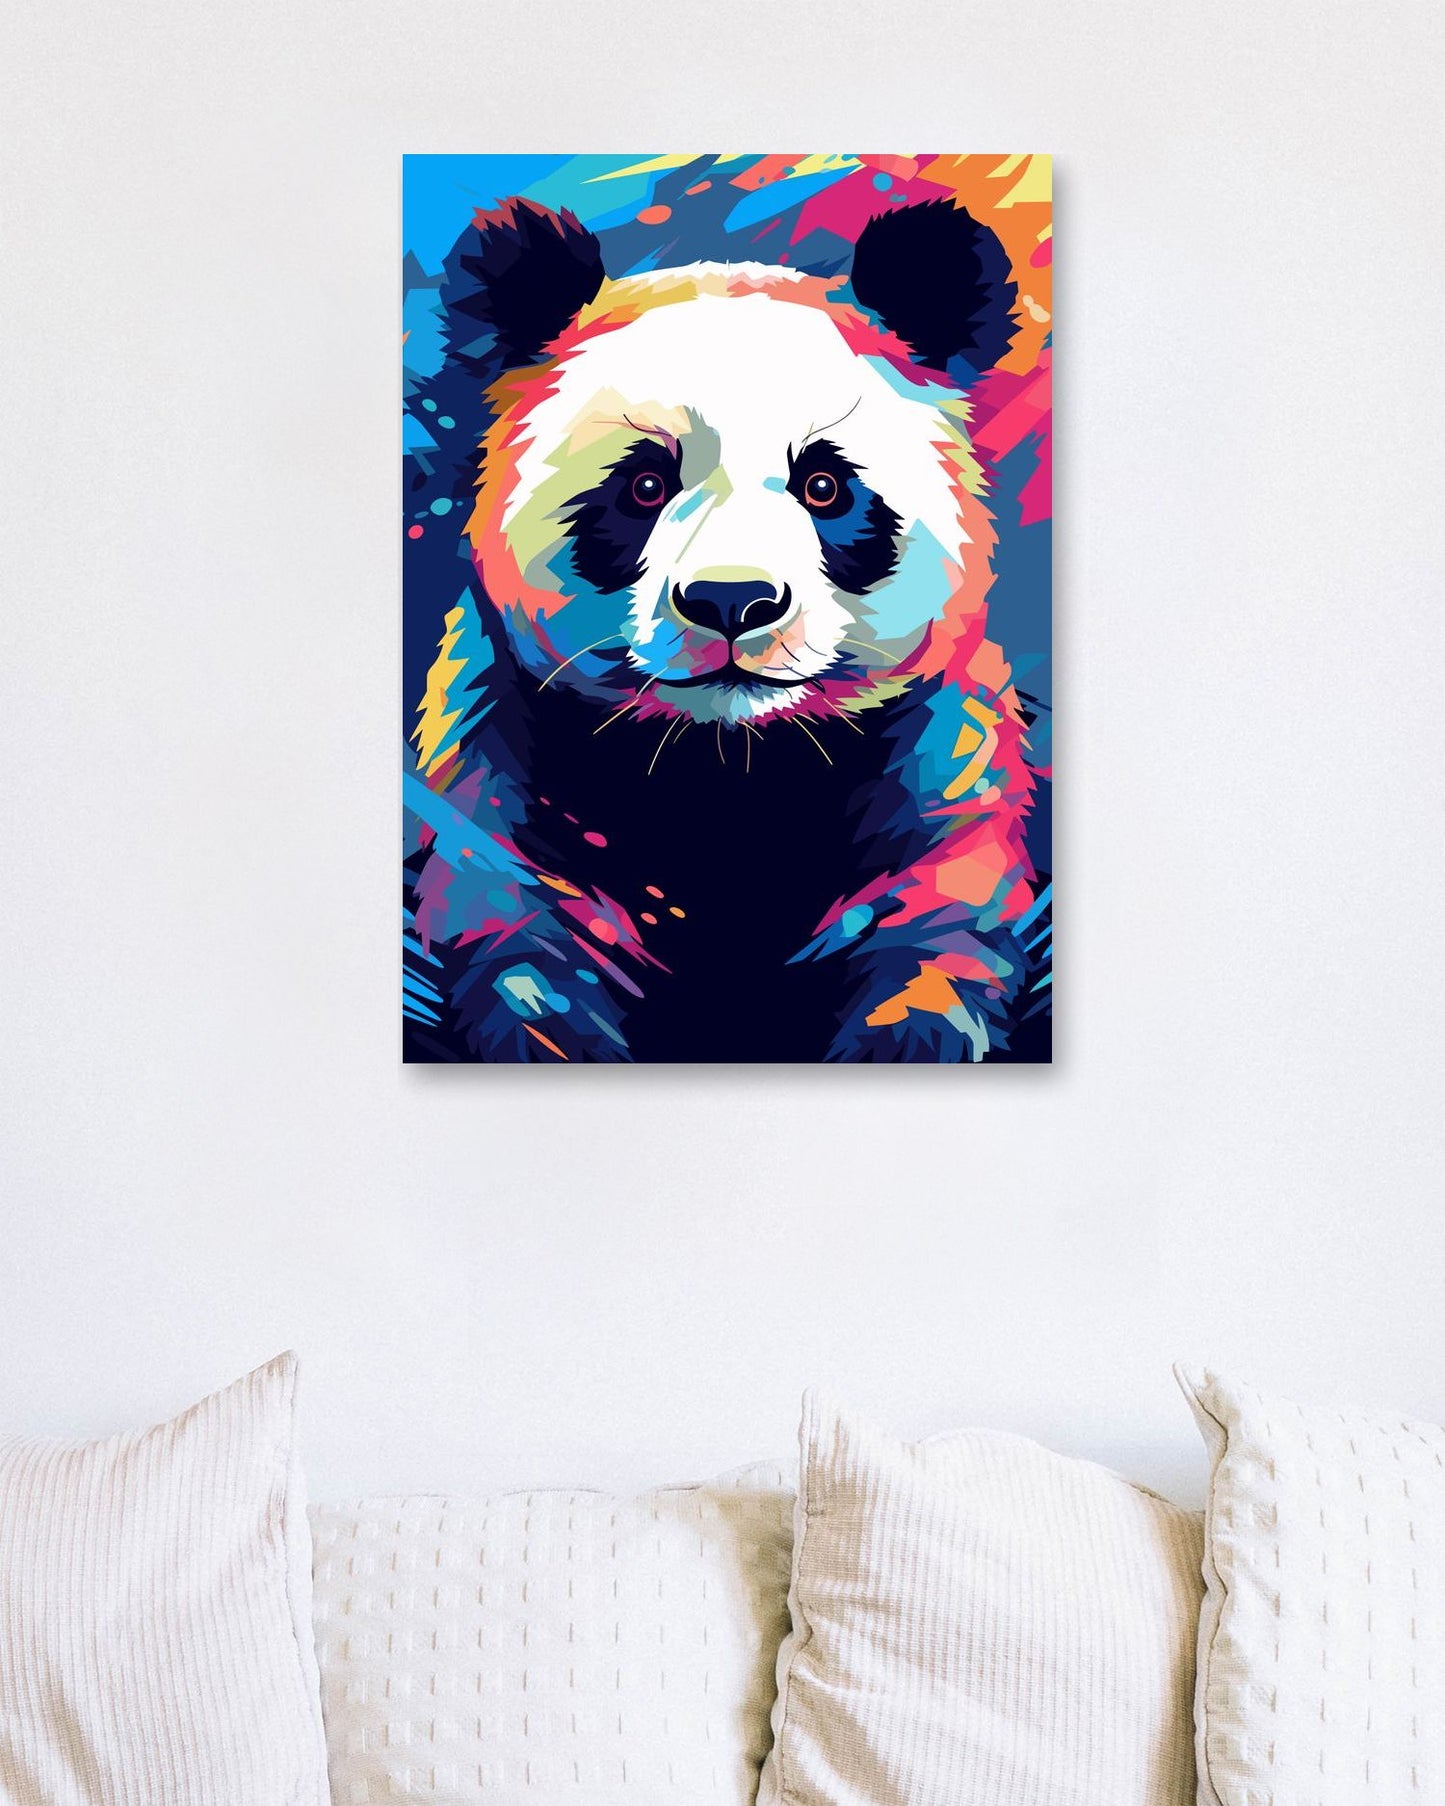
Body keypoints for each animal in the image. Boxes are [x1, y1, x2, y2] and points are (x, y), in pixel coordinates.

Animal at [404, 195, 1049, 1063]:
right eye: (644, 484)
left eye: (823, 485)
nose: (731, 603)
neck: (726, 760)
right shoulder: (500, 773)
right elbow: (522, 955)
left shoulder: (938, 768)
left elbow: (934, 935)